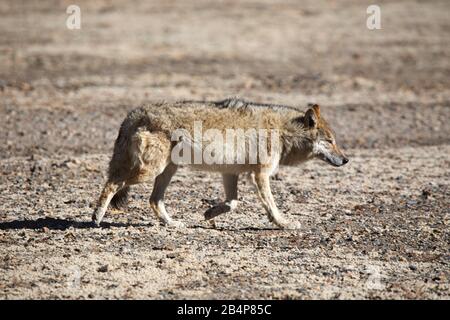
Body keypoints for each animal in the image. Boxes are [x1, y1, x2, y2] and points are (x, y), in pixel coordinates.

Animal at [93, 99, 350, 229]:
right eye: (330, 142)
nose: (346, 160)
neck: (282, 131)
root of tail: (132, 114)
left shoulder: (230, 172)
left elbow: (232, 203)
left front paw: (209, 213)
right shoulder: (260, 175)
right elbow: (271, 206)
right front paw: (284, 223)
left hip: (168, 170)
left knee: (153, 200)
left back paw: (173, 223)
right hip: (150, 171)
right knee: (113, 183)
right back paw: (96, 216)